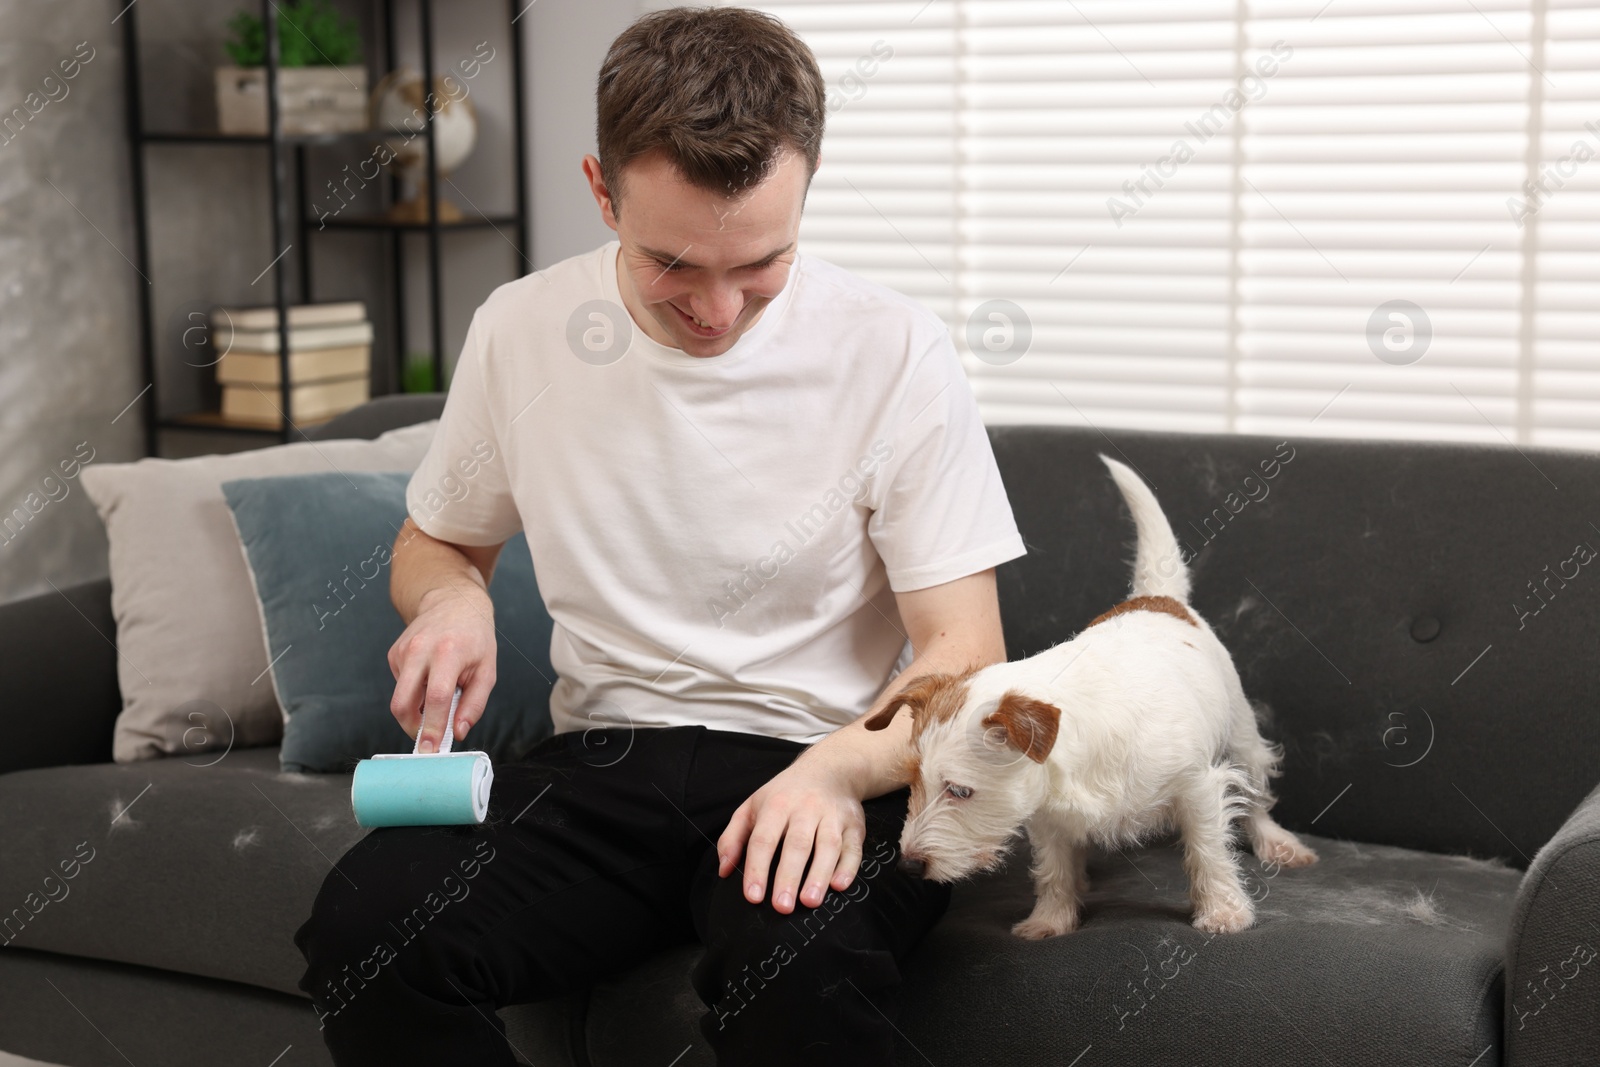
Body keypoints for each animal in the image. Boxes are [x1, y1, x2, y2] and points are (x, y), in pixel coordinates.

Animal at [870, 454, 1318, 940]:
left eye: (960, 791)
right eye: (912, 783)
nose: (909, 866)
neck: (1073, 749)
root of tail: (1157, 597)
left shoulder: (1197, 787)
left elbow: (1208, 851)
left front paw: (1222, 911)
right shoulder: (1045, 816)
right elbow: (1054, 869)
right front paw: (1049, 920)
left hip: (1241, 736)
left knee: (1255, 793)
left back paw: (1276, 842)